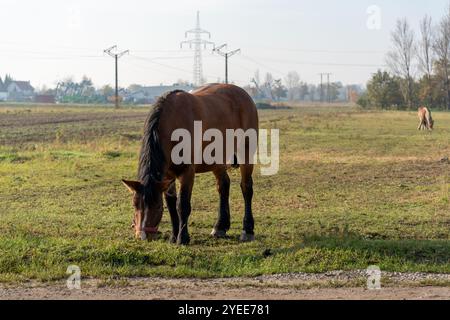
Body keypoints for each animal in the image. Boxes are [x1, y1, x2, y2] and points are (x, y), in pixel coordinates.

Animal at [121, 83, 258, 245]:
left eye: (157, 205)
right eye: (134, 204)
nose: (142, 236)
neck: (172, 125)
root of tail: (244, 94)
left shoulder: (187, 172)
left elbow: (183, 205)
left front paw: (183, 237)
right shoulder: (167, 176)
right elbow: (171, 204)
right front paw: (174, 236)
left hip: (246, 153)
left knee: (246, 188)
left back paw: (247, 230)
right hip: (217, 160)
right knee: (223, 186)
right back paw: (220, 226)